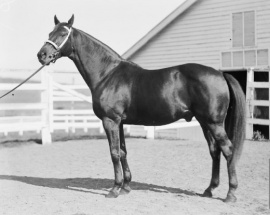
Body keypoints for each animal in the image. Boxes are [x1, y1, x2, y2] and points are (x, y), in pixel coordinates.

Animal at [37, 15, 246, 203]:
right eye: (49, 33)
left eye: (63, 33)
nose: (42, 55)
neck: (108, 74)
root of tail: (219, 73)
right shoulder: (120, 123)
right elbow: (122, 152)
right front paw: (126, 187)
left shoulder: (110, 121)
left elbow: (114, 153)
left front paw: (114, 189)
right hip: (205, 122)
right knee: (214, 151)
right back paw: (209, 189)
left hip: (214, 123)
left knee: (228, 150)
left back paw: (231, 194)